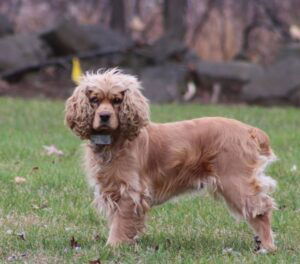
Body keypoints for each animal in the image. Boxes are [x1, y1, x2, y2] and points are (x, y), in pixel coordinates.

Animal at [64, 68, 278, 252]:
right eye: (94, 100)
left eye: (117, 100)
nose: (104, 116)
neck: (115, 141)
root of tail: (248, 130)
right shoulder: (113, 189)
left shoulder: (130, 191)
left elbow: (120, 222)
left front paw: (113, 246)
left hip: (235, 181)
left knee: (262, 209)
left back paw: (267, 247)